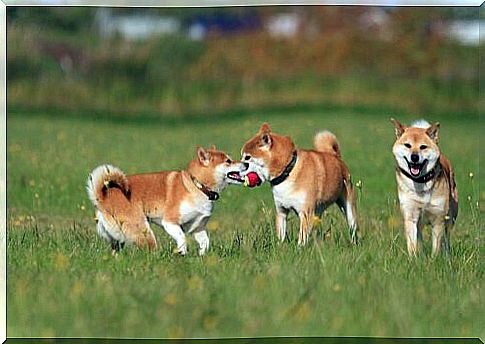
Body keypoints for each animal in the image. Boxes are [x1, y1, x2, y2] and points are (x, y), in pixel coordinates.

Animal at [85, 145, 248, 255]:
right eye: (228, 161)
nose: (246, 163)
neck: (197, 185)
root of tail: (102, 197)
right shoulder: (170, 222)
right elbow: (182, 238)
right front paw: (182, 254)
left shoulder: (197, 227)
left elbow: (205, 242)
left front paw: (202, 257)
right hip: (143, 231)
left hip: (116, 237)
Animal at [390, 118, 458, 255]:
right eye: (407, 145)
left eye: (423, 147)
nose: (414, 157)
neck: (420, 182)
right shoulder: (410, 214)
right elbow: (412, 243)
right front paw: (413, 258)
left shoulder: (438, 217)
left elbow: (436, 245)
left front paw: (434, 258)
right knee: (420, 236)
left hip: (451, 215)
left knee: (447, 237)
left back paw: (447, 254)